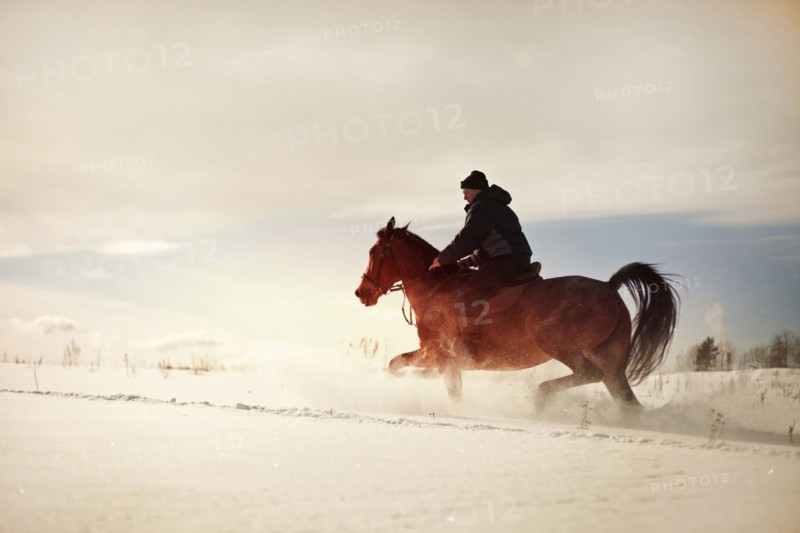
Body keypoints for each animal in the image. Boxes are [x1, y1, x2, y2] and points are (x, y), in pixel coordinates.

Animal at [354, 217, 680, 411]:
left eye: (374, 253)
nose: (361, 293)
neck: (435, 290)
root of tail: (609, 287)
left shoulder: (439, 353)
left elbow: (397, 365)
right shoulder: (446, 362)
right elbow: (428, 379)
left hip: (563, 347)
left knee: (589, 374)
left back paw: (539, 396)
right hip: (612, 364)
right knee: (626, 401)